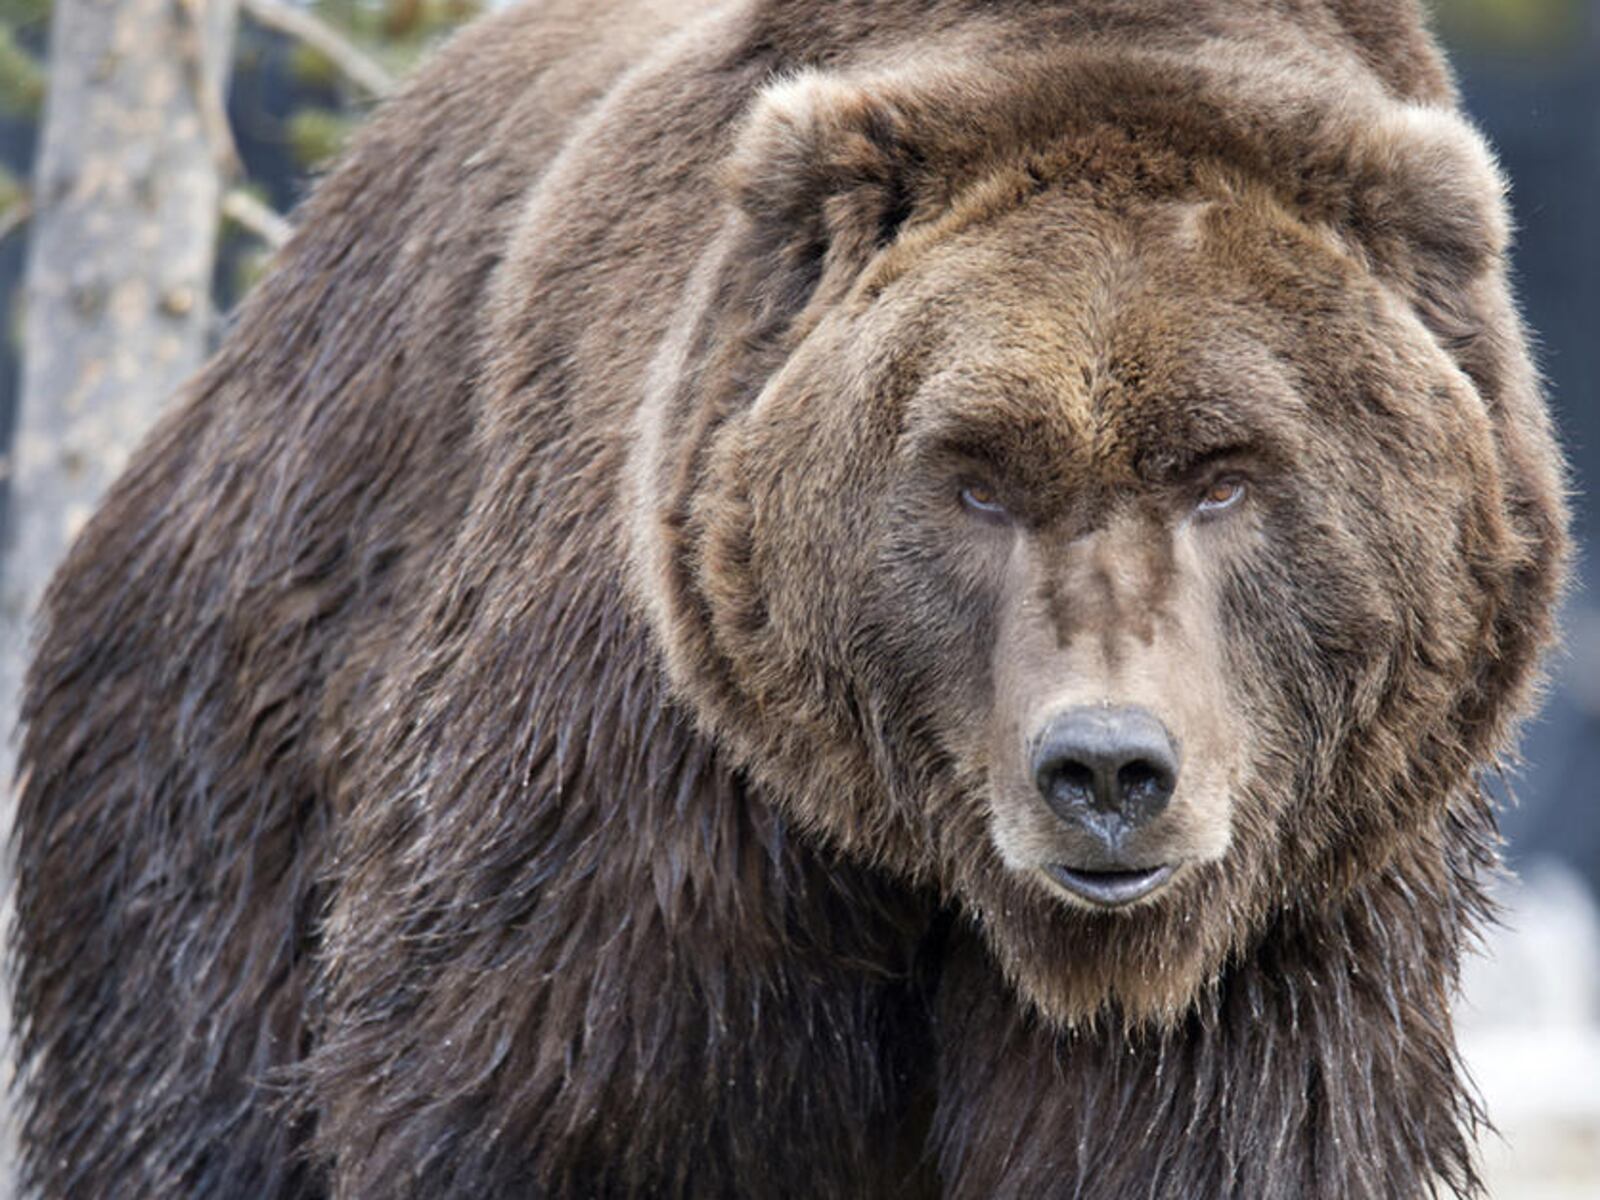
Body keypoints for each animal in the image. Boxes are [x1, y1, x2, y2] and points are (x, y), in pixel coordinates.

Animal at [8, 0, 1569, 1197]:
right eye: (975, 475)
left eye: (1227, 473)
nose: (1108, 768)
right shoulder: (654, 811)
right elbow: (551, 1106)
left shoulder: (1291, 920)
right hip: (224, 731)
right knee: (180, 1075)